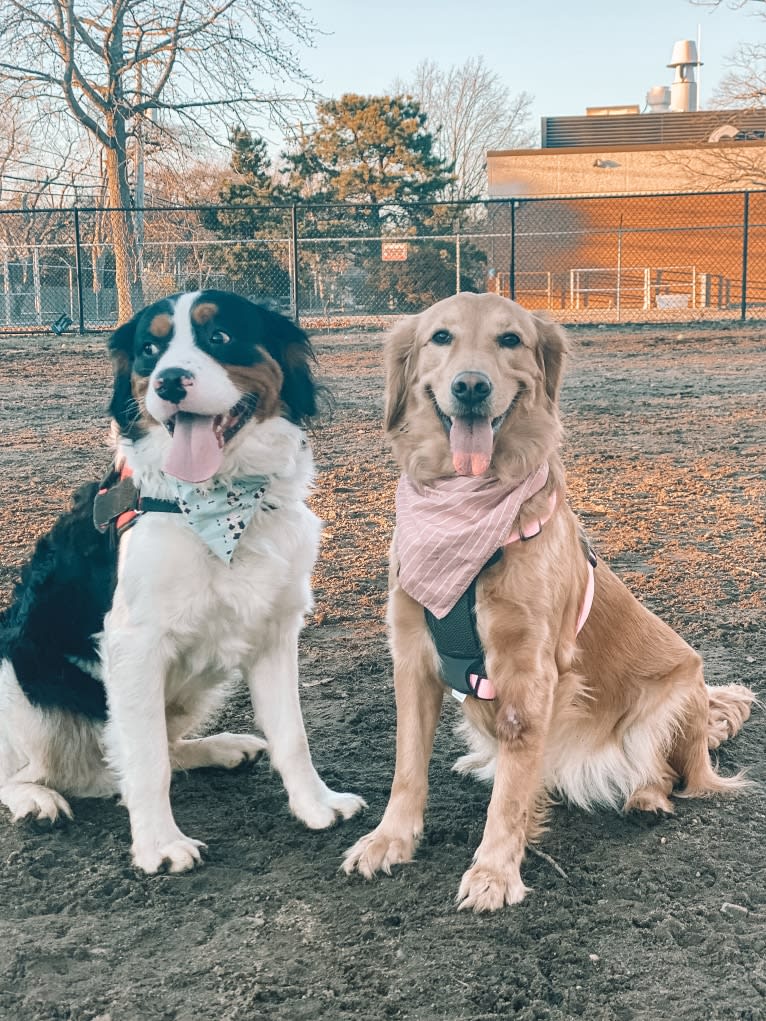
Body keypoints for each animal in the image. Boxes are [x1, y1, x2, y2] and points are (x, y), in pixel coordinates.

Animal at [0, 292, 365, 873]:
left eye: (219, 337)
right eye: (150, 350)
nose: (169, 381)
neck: (219, 503)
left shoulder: (274, 633)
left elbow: (292, 735)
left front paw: (316, 805)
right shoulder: (133, 646)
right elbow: (146, 760)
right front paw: (158, 845)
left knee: (152, 749)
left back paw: (222, 748)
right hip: (19, 673)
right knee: (41, 770)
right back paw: (36, 798)